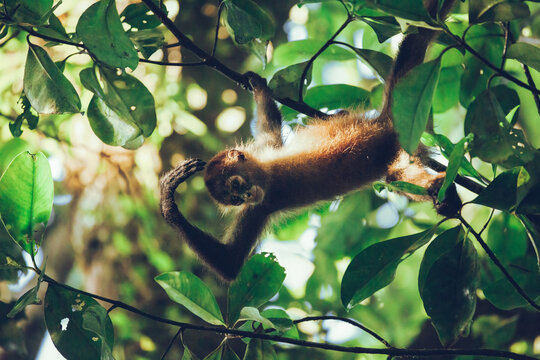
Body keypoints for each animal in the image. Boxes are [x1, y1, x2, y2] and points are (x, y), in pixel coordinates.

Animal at [160, 0, 460, 282]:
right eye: (233, 199)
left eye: (236, 185)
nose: (245, 196)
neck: (266, 172)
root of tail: (385, 125)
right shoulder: (261, 201)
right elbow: (229, 263)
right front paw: (168, 201)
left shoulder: (264, 187)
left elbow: (270, 131)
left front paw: (257, 84)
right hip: (398, 156)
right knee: (406, 180)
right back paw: (444, 193)